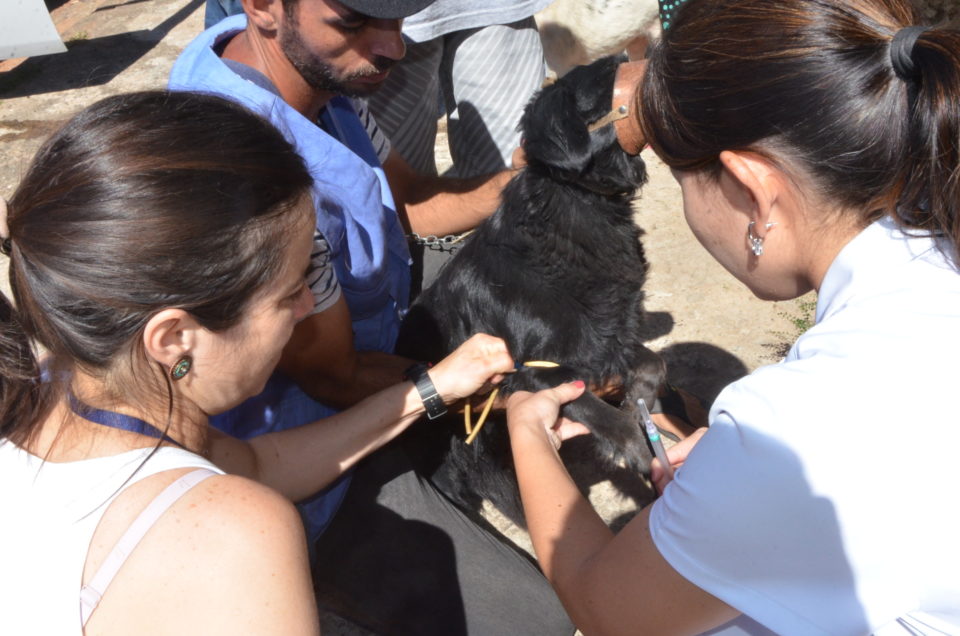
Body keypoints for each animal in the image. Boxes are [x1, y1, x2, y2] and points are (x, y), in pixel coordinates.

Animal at [394, 56, 664, 528]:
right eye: (608, 77)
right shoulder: (531, 371)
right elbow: (606, 415)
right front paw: (637, 447)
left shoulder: (608, 341)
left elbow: (654, 364)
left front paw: (639, 402)